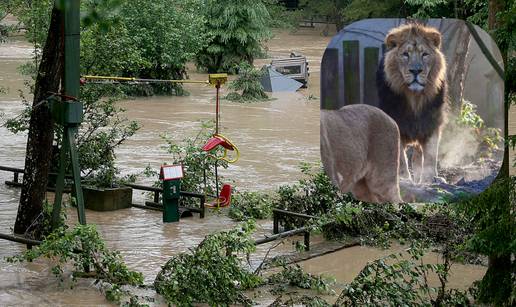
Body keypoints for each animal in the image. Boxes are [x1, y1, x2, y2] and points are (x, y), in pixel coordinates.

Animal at [374, 24, 448, 184]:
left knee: (418, 157)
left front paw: (428, 179)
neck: (415, 98)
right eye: (405, 54)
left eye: (425, 54)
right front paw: (403, 179)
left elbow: (431, 156)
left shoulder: (431, 123)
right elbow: (401, 159)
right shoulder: (396, 125)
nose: (416, 71)